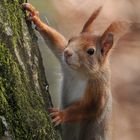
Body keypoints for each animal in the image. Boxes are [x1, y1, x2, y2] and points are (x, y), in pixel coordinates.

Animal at [22, 3, 127, 140]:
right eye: (71, 39)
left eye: (91, 51)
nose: (67, 53)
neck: (79, 72)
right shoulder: (64, 61)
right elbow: (55, 40)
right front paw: (35, 17)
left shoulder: (99, 89)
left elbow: (90, 110)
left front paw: (61, 115)